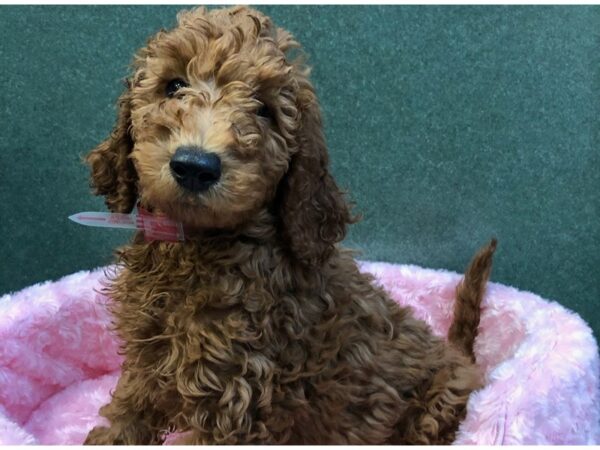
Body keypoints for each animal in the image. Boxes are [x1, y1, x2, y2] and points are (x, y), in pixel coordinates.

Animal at [84, 5, 496, 444]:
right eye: (173, 86)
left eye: (264, 110)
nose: (195, 166)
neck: (196, 244)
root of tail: (458, 358)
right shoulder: (147, 358)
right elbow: (127, 413)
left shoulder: (232, 397)